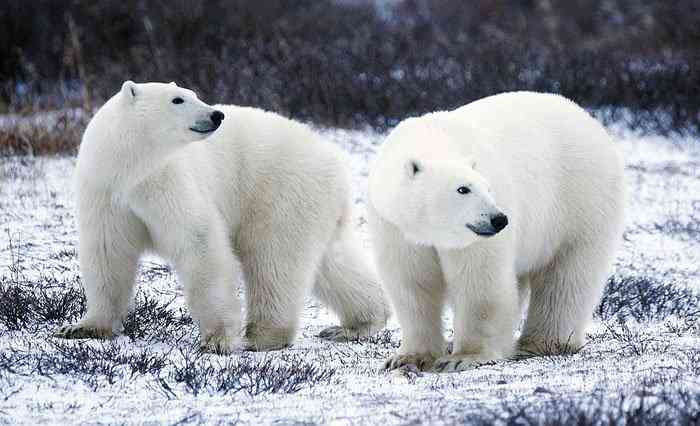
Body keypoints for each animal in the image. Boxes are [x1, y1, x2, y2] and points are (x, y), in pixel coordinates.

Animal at [56, 80, 388, 352]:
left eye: (194, 94)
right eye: (178, 99)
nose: (216, 115)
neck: (129, 168)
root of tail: (336, 161)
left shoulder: (167, 181)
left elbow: (199, 242)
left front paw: (217, 339)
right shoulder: (104, 190)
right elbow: (108, 252)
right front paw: (83, 327)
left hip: (280, 191)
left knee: (273, 258)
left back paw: (262, 336)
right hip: (314, 203)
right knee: (332, 262)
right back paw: (357, 324)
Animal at [370, 90, 628, 372]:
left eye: (488, 187)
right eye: (463, 189)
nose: (499, 219)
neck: (434, 137)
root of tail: (590, 120)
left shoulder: (476, 240)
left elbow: (480, 282)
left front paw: (463, 357)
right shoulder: (396, 227)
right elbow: (413, 284)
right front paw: (408, 358)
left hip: (581, 202)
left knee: (566, 276)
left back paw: (541, 343)